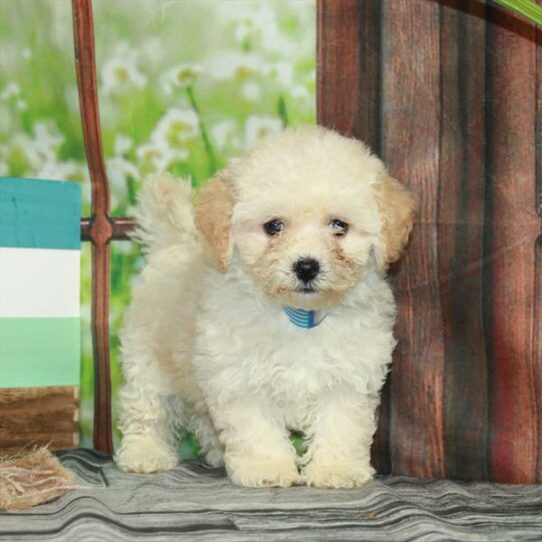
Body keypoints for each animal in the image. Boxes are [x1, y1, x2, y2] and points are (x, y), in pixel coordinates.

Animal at [117, 125, 418, 490]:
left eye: (339, 226)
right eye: (273, 226)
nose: (306, 267)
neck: (298, 316)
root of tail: (173, 244)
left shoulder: (350, 376)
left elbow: (341, 424)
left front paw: (336, 469)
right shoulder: (238, 376)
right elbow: (256, 427)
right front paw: (267, 467)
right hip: (148, 359)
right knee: (147, 409)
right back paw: (144, 453)